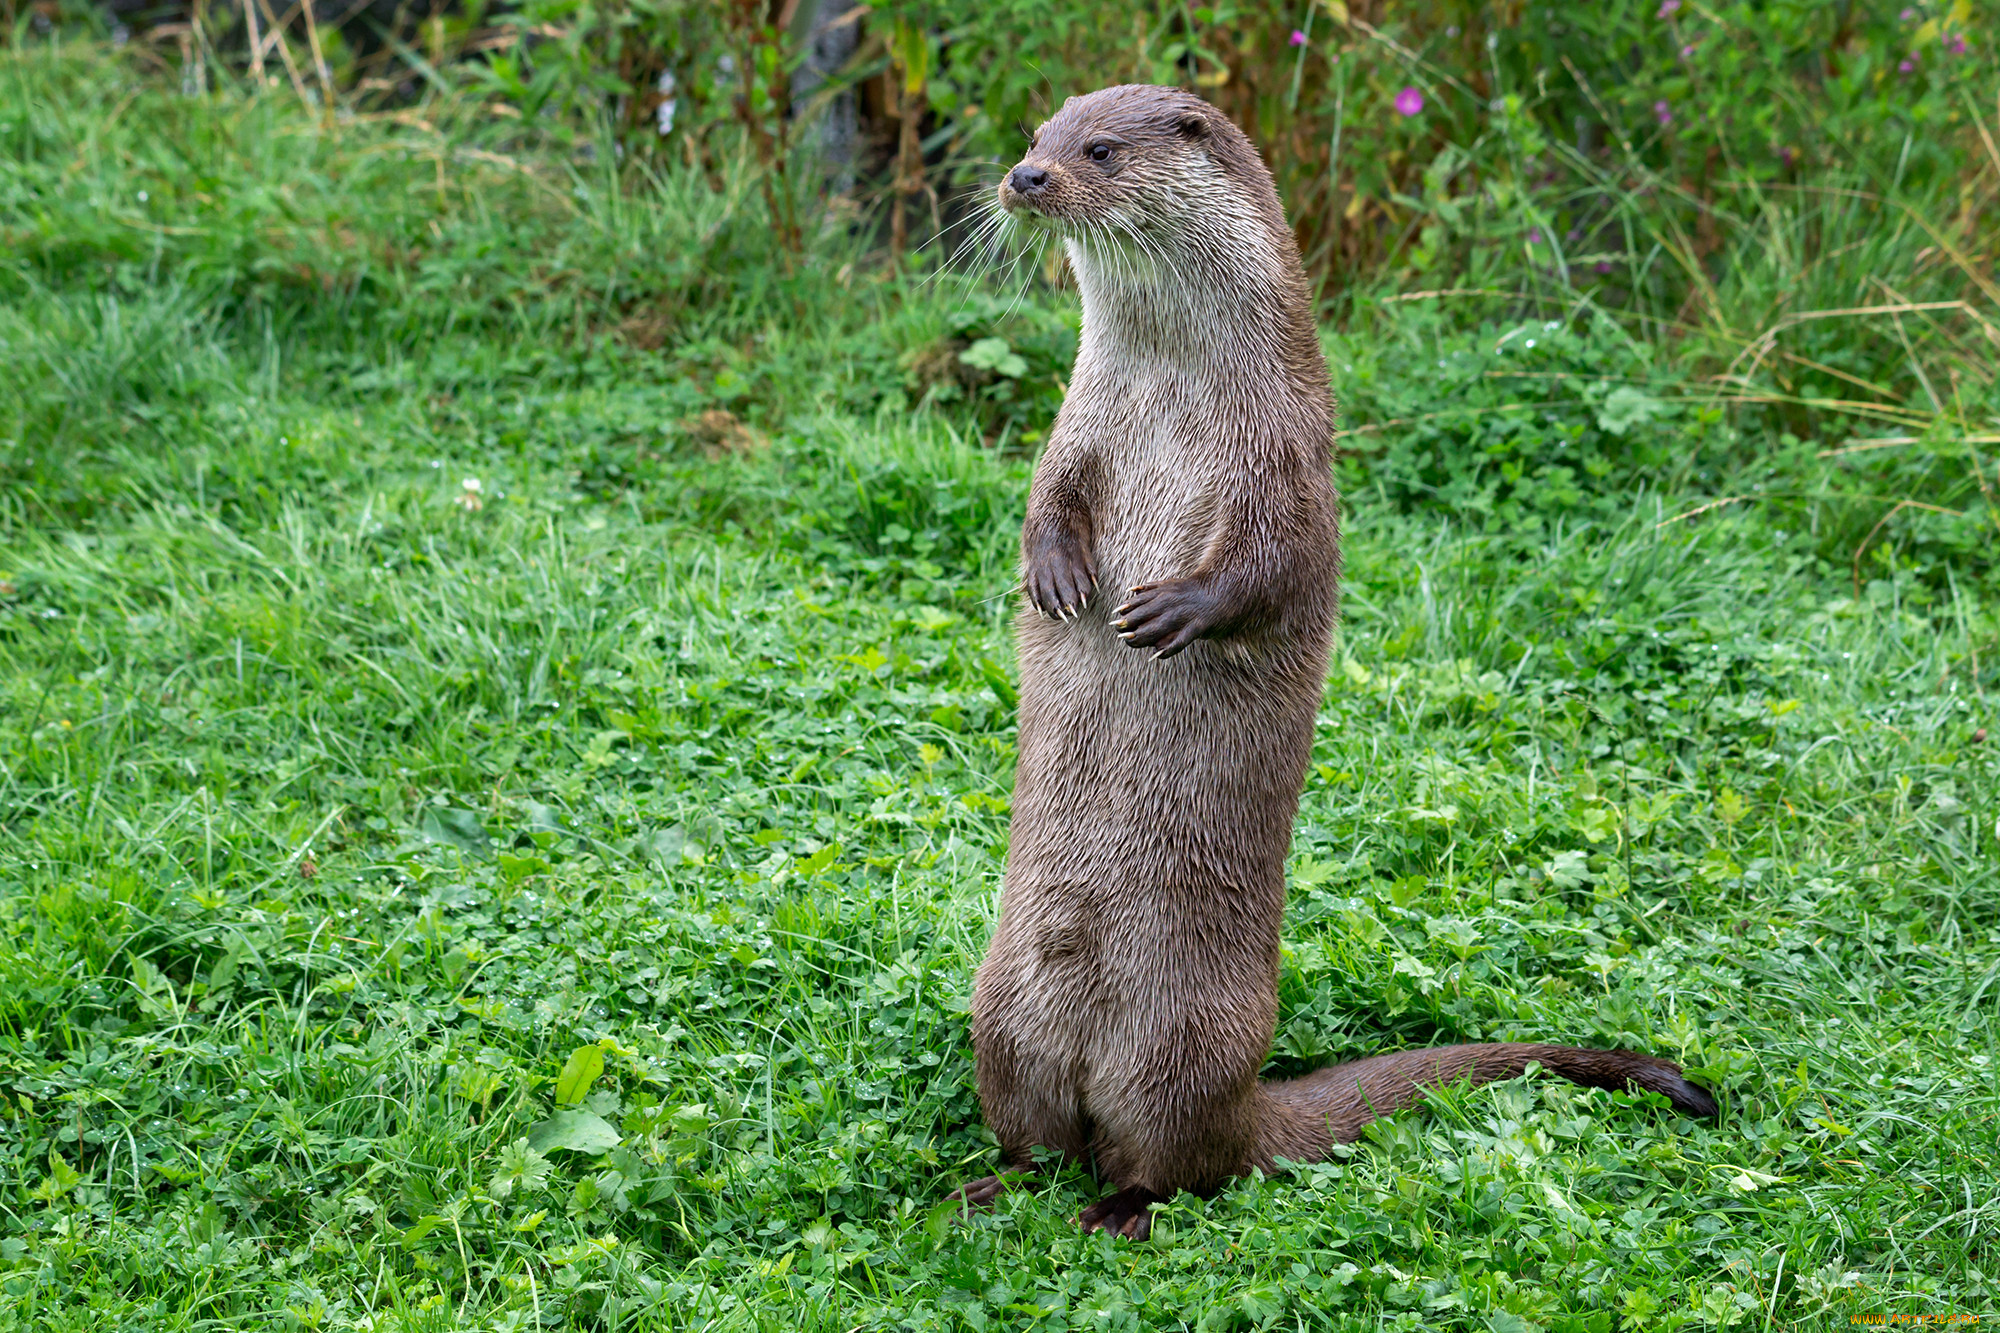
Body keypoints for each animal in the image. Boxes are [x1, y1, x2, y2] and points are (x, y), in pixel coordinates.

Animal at [952, 88, 1720, 1240]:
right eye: (1037, 134)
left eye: (1099, 149)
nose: (1024, 178)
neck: (1171, 396)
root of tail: (1240, 1094)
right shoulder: (1072, 431)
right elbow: (1041, 510)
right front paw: (1056, 579)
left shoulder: (1287, 457)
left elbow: (1275, 568)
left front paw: (1172, 609)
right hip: (1000, 1010)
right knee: (1038, 1139)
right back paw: (990, 1186)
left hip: (1184, 1044)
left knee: (1178, 1166)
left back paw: (1117, 1211)